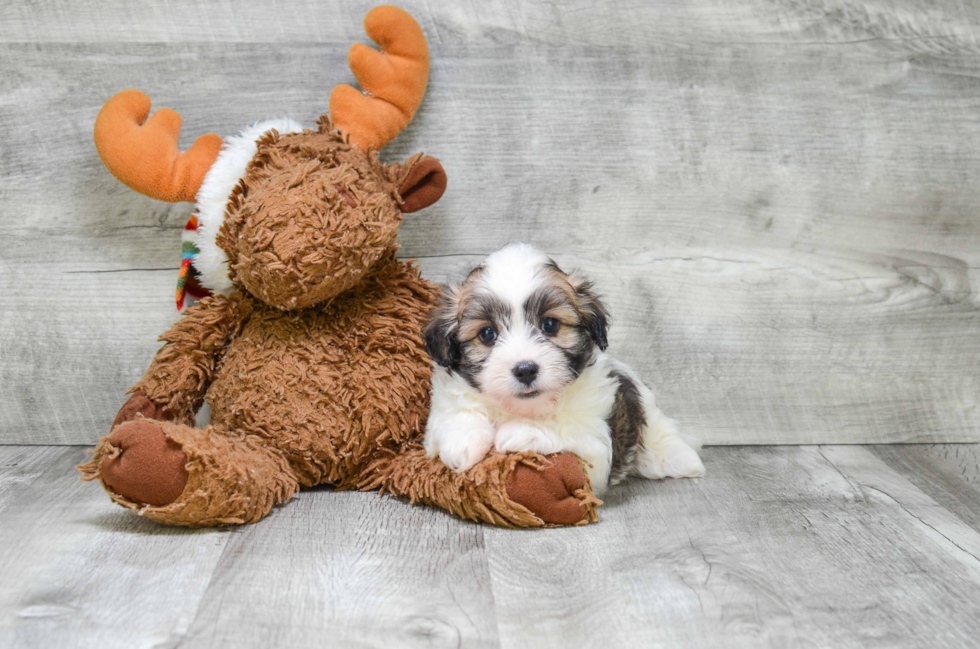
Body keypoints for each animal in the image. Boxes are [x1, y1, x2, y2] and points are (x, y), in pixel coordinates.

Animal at [422, 244, 704, 496]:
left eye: (550, 325)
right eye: (487, 334)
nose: (525, 370)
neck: (523, 409)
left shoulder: (597, 449)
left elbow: (568, 431)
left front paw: (522, 431)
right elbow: (455, 415)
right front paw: (462, 440)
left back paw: (683, 459)